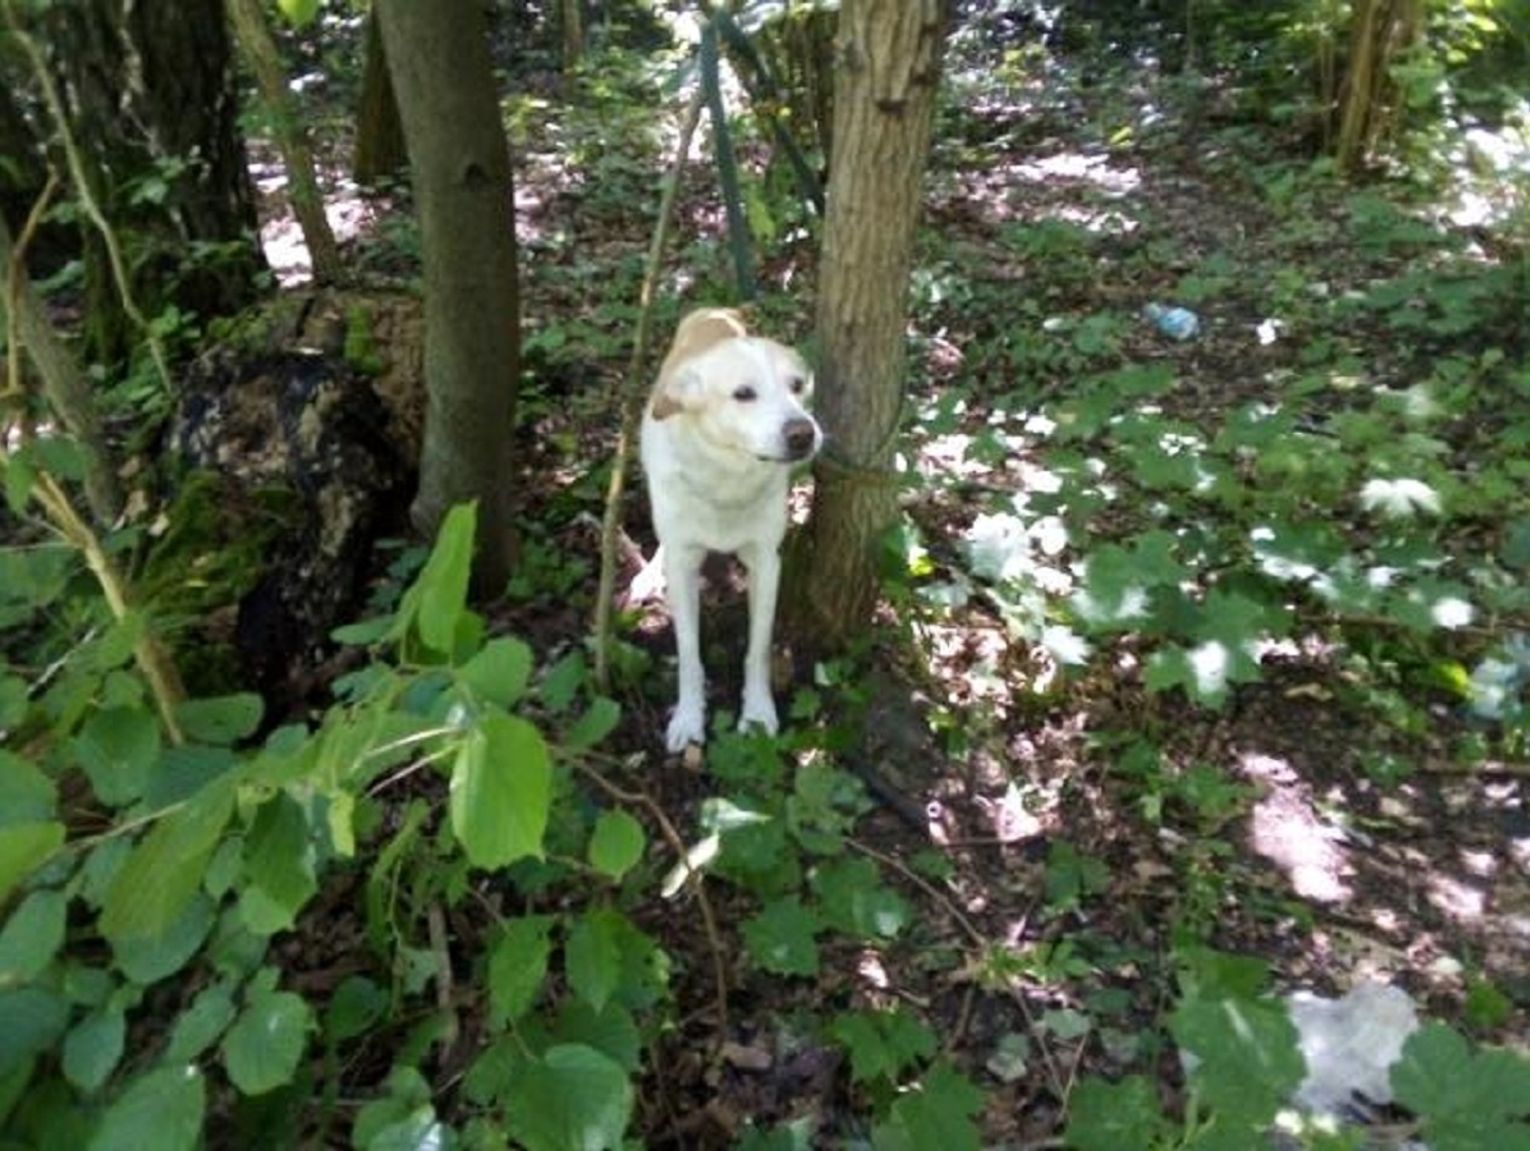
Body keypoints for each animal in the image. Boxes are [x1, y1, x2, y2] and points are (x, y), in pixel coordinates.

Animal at [639, 307, 820, 756]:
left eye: (796, 386)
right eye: (743, 394)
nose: (803, 433)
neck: (728, 477)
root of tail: (714, 311)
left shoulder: (766, 563)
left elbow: (758, 649)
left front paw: (756, 712)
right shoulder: (684, 564)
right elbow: (688, 652)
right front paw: (689, 716)